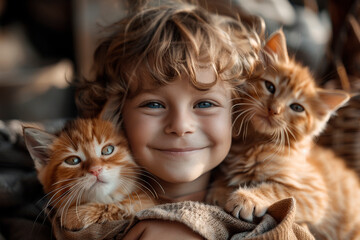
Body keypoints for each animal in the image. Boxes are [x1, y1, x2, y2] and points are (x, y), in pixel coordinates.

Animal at [207, 30, 360, 240]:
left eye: (297, 107)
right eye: (270, 87)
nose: (274, 110)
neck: (255, 144)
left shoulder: (314, 192)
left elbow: (277, 189)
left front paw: (246, 197)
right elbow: (224, 175)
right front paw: (219, 191)